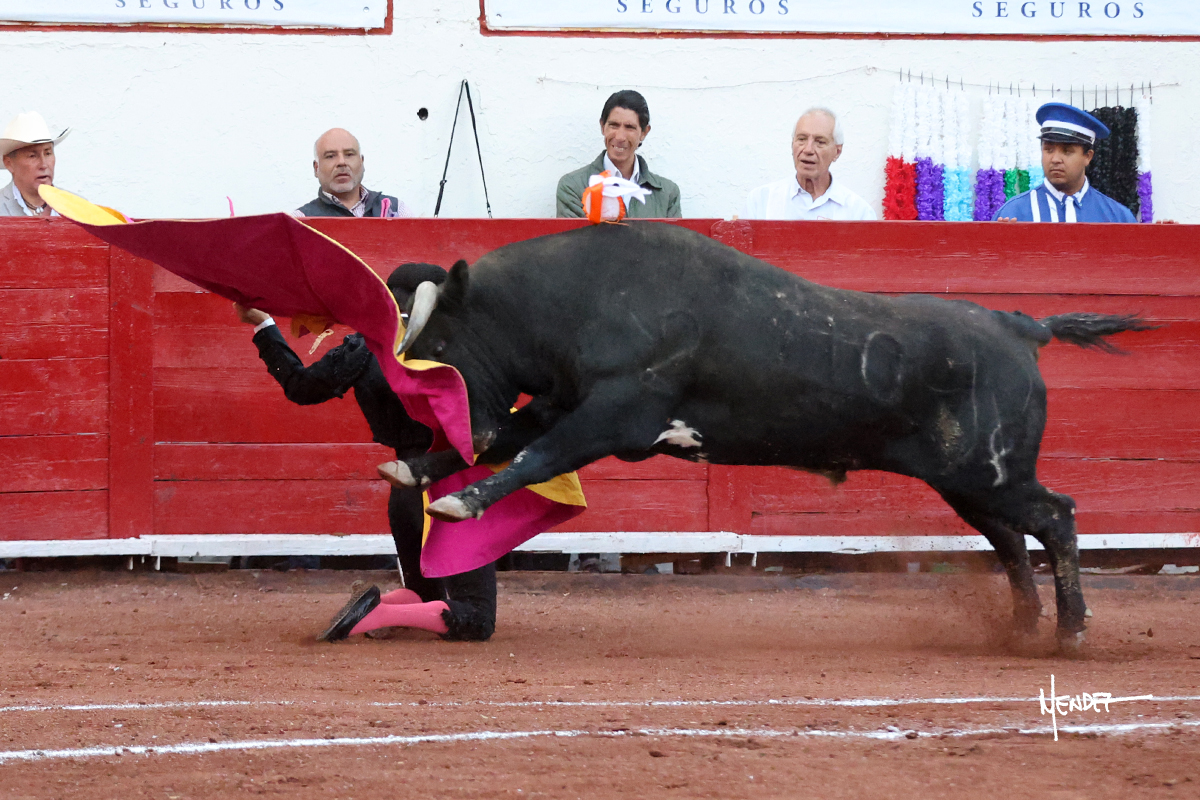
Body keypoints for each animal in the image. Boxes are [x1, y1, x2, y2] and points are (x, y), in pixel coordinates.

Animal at [379, 221, 1153, 651]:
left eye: (440, 342)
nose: (458, 417)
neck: (581, 297)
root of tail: (1021, 325)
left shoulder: (615, 415)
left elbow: (532, 454)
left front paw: (457, 502)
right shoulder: (561, 402)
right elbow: (510, 439)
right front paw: (418, 470)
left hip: (992, 472)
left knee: (1056, 517)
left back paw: (1071, 633)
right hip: (968, 481)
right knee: (1011, 539)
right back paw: (1023, 632)